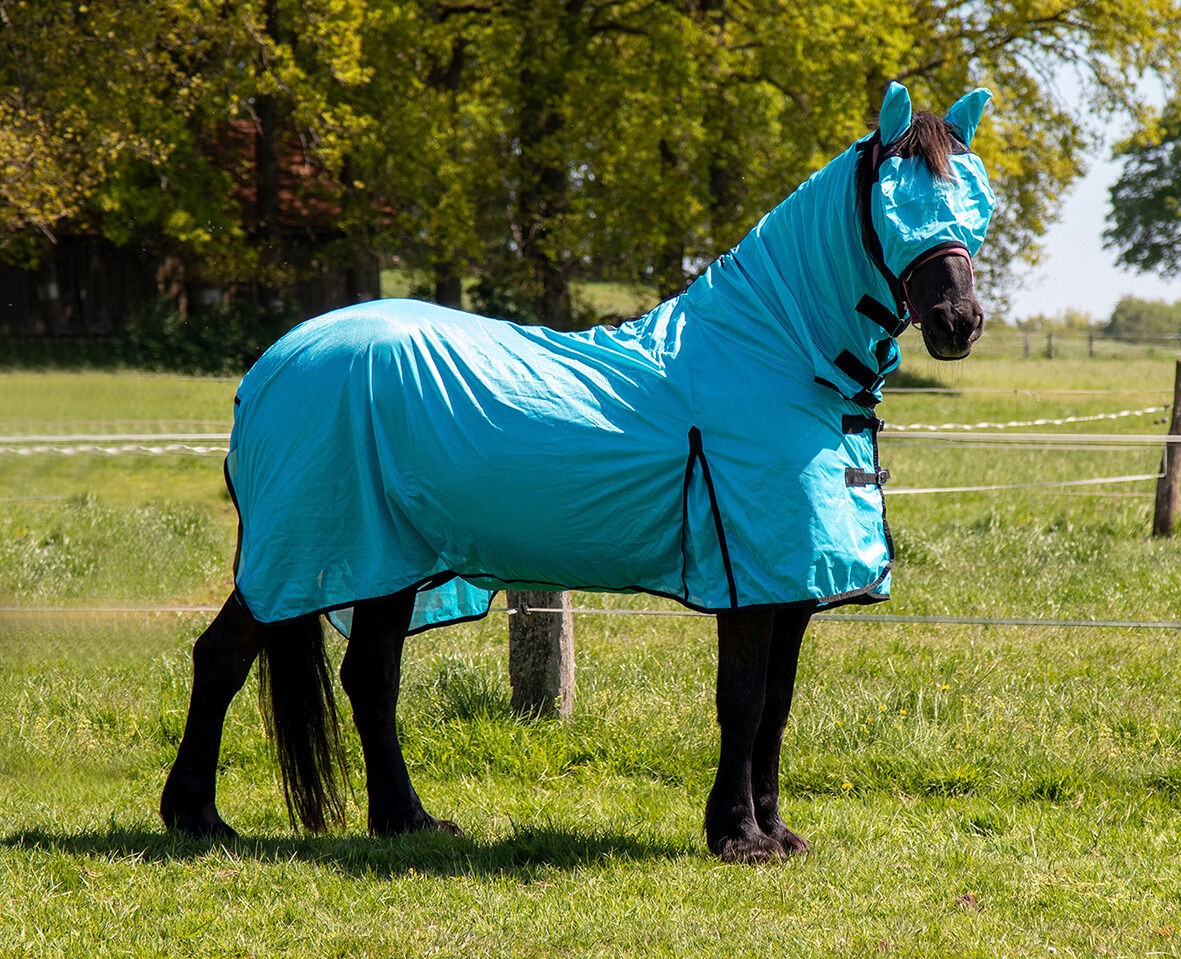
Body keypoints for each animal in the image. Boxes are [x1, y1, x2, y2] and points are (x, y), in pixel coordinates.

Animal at [161, 82, 995, 863]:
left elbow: (777, 705)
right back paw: (197, 817)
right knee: (224, 656)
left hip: (389, 563)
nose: (956, 322)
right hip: (303, 554)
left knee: (369, 677)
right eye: (895, 206)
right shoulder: (751, 582)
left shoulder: (791, 587)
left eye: (974, 202)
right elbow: (742, 699)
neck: (773, 353)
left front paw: (774, 830)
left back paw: (407, 820)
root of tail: (267, 367)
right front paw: (736, 835)